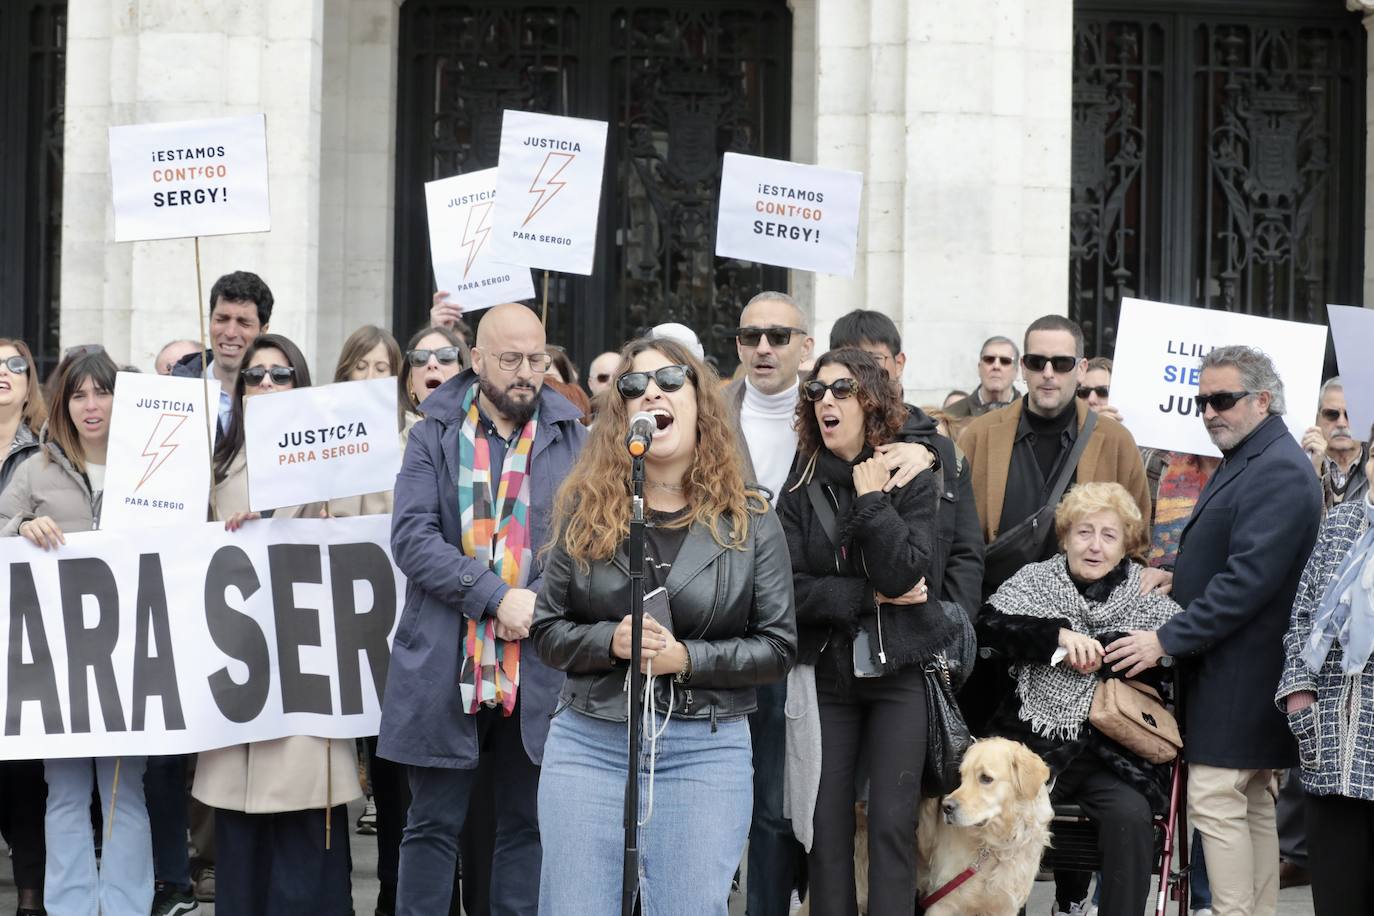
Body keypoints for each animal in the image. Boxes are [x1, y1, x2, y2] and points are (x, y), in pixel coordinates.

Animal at [917, 736, 1055, 916]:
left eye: (986, 778)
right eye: (961, 778)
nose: (946, 807)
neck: (996, 845)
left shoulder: (1005, 907)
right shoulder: (942, 903)